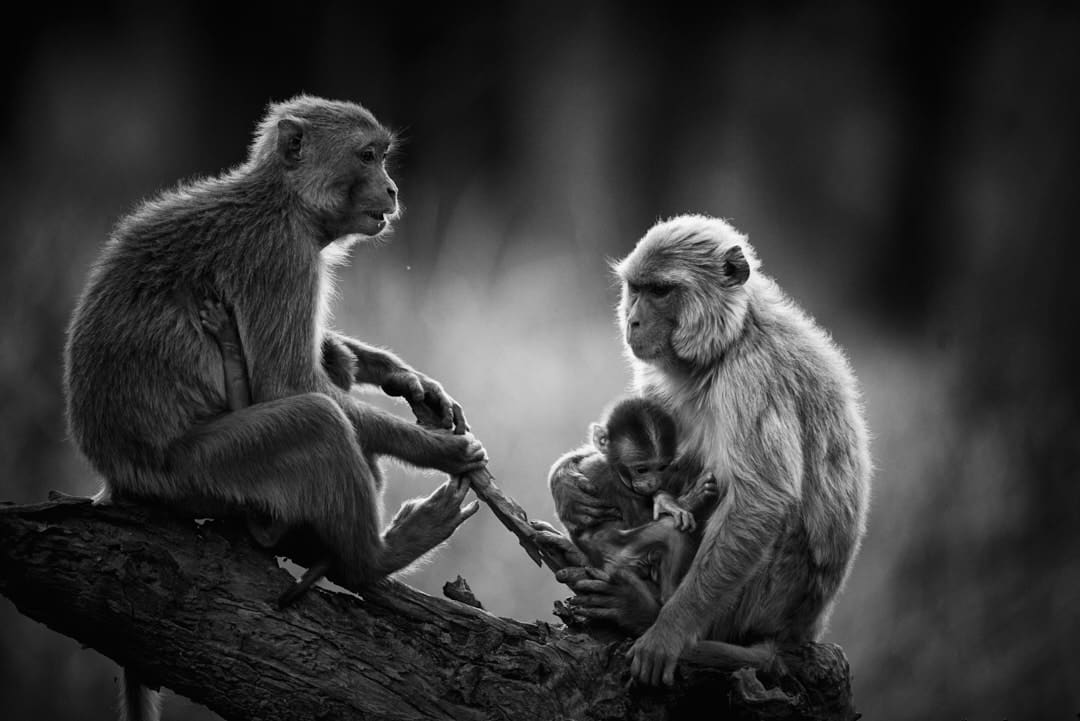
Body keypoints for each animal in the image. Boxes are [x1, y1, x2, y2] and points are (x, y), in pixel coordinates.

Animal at [64, 95, 487, 721]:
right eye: (368, 156)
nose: (391, 189)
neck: (283, 202)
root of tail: (118, 477)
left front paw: (397, 375)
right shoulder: (281, 257)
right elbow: (288, 383)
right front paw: (441, 450)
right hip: (196, 473)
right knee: (318, 422)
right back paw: (375, 558)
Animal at [546, 396, 719, 604]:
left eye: (661, 467)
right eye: (641, 469)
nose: (653, 482)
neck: (614, 468)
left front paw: (664, 498)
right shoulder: (610, 481)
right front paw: (685, 500)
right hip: (621, 559)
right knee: (670, 532)